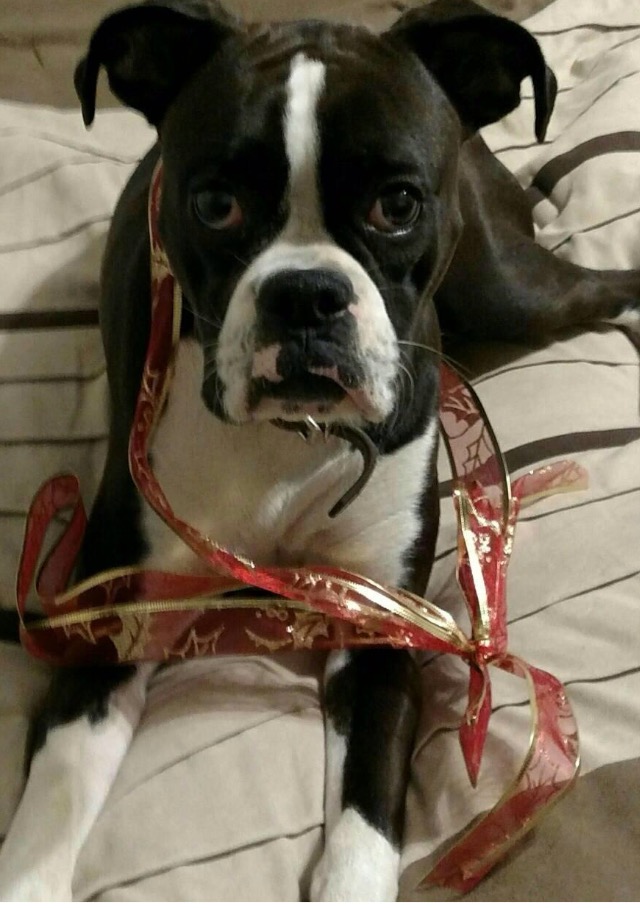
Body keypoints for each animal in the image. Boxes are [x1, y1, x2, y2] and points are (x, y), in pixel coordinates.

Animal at [0, 0, 639, 900]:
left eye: (397, 204)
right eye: (216, 204)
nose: (304, 294)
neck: (292, 439)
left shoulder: (380, 632)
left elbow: (365, 829)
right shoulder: (110, 631)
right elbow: (48, 815)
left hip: (509, 290)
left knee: (609, 286)